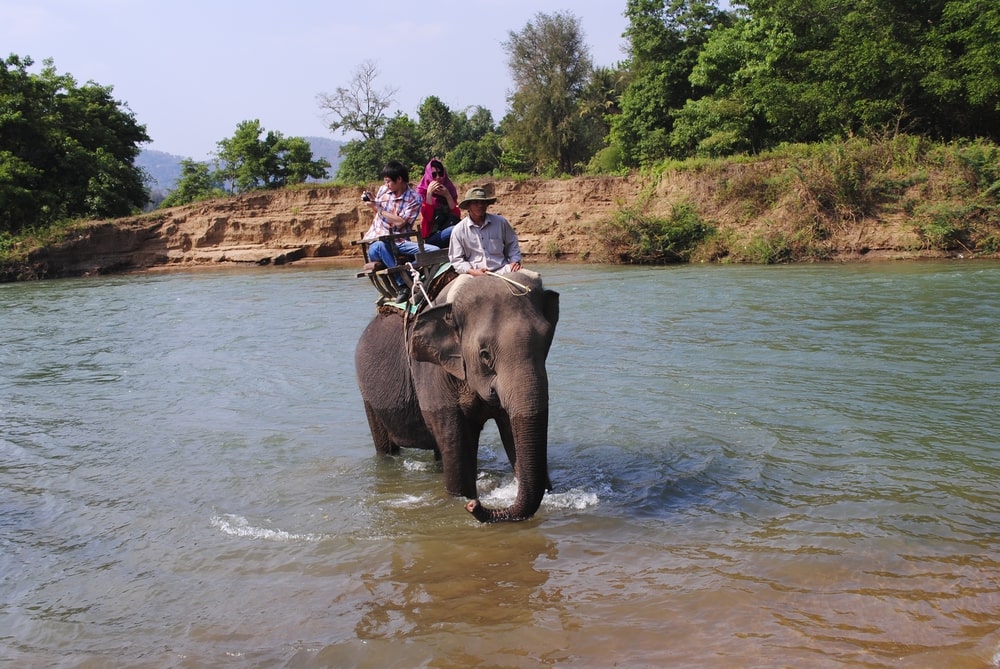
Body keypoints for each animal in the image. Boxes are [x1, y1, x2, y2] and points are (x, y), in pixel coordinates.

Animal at [356, 270, 560, 520]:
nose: (473, 506)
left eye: (546, 341)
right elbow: (456, 441)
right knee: (386, 447)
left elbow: (512, 431)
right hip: (367, 394)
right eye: (484, 354)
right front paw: (459, 501)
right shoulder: (432, 371)